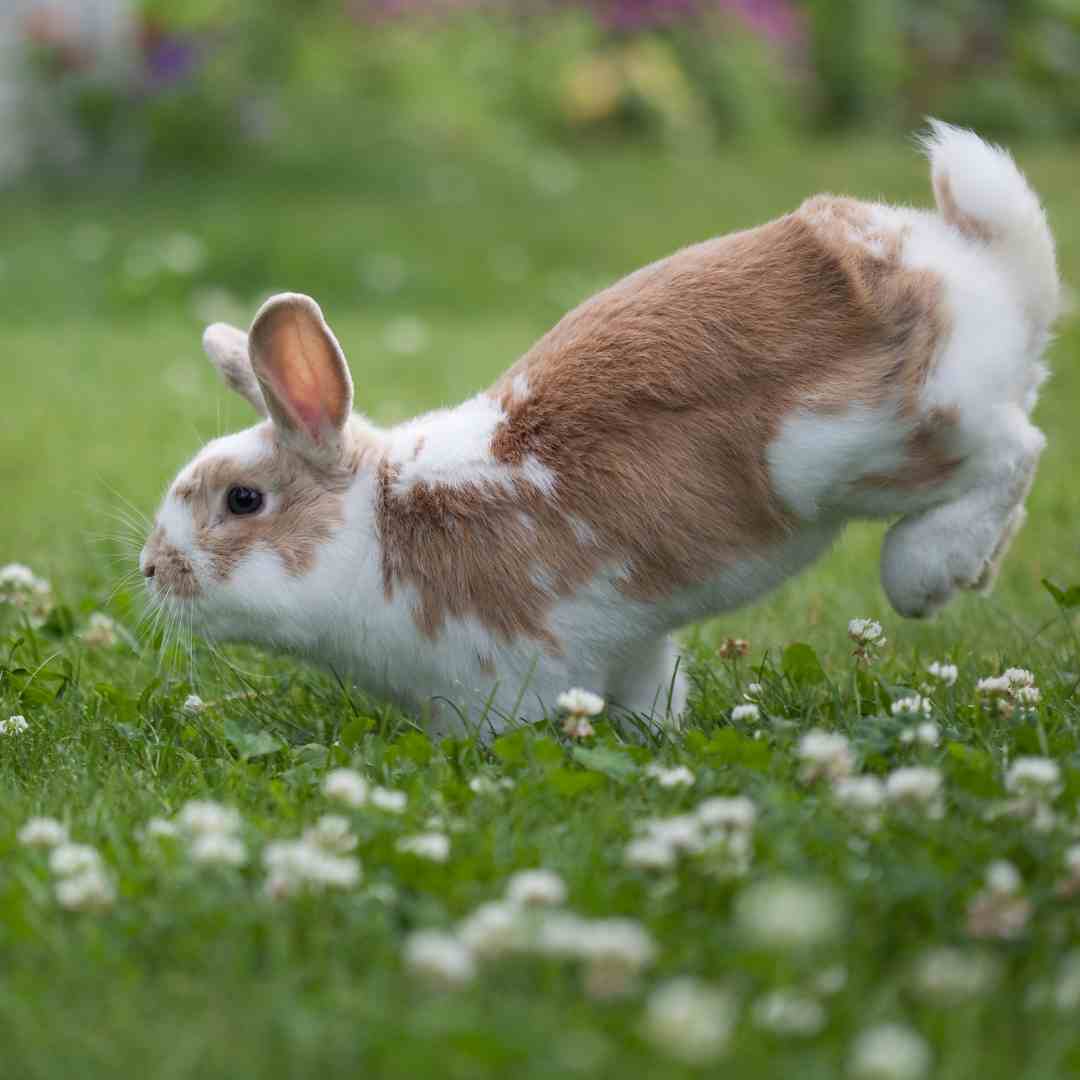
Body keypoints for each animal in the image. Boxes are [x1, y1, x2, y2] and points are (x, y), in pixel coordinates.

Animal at [139, 122, 1058, 738]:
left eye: (243, 501)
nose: (151, 569)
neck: (379, 523)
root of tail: (980, 266)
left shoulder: (503, 677)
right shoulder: (632, 647)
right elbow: (652, 696)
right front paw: (658, 740)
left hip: (872, 446)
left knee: (1017, 451)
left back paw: (926, 573)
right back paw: (971, 571)